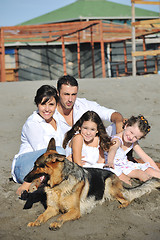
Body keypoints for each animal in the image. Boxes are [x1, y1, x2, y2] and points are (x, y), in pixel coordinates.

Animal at [24, 139, 160, 231]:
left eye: (37, 166)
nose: (25, 179)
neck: (60, 183)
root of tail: (117, 177)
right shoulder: (52, 208)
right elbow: (41, 215)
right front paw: (35, 221)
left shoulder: (75, 210)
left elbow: (61, 217)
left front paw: (56, 223)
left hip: (109, 184)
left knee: (127, 199)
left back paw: (122, 204)